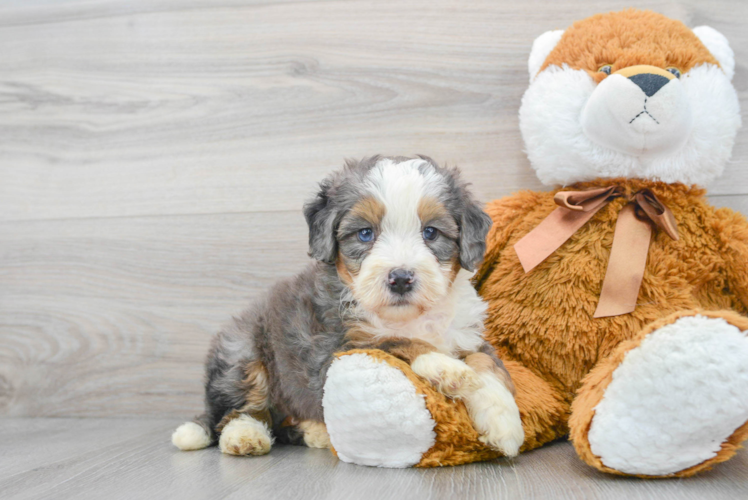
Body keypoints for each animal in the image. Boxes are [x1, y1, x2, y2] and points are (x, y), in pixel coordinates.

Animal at [172, 156, 524, 458]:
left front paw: (503, 420)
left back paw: (315, 431)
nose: (400, 278)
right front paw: (445, 367)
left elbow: (485, 363)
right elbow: (396, 342)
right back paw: (244, 435)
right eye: (365, 233)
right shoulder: (336, 349)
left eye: (431, 232)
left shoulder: (468, 336)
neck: (408, 316)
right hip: (241, 351)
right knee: (236, 411)